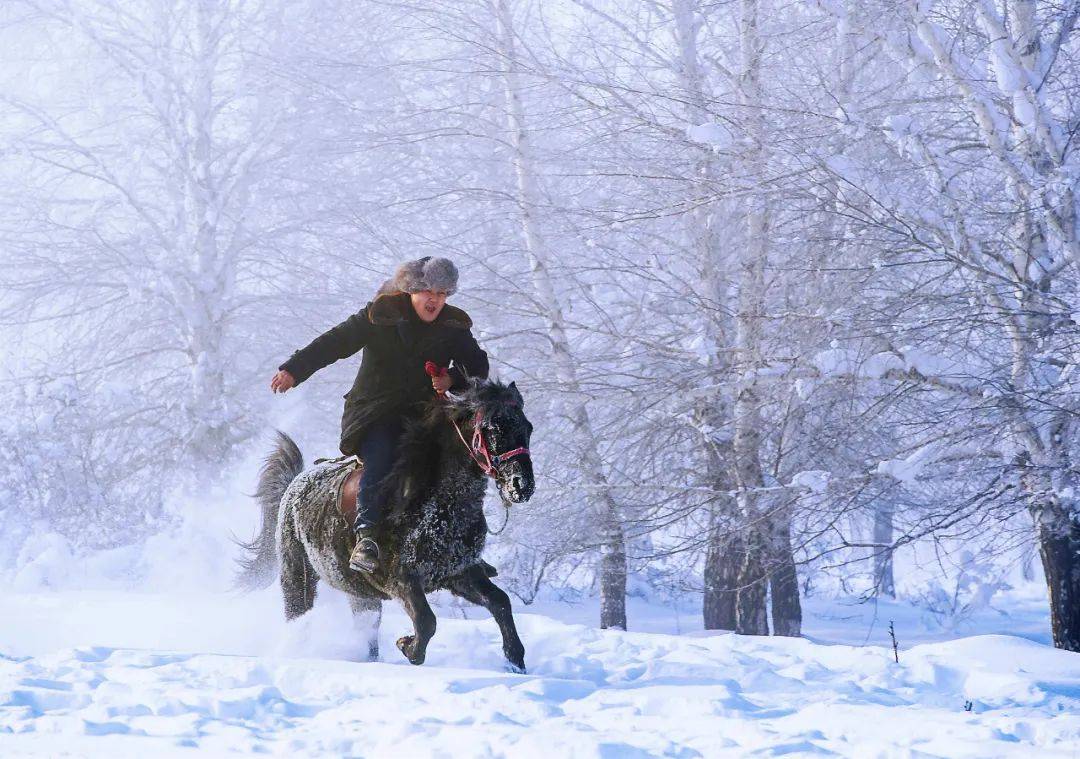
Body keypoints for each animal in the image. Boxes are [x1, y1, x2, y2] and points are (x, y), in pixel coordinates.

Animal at [239, 377, 535, 669]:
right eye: (491, 428)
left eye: (528, 427)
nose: (522, 485)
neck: (438, 506)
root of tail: (294, 485)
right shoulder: (399, 578)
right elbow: (426, 620)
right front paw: (407, 646)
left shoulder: (459, 572)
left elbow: (500, 602)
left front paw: (515, 660)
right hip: (298, 574)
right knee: (298, 613)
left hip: (360, 591)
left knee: (365, 626)